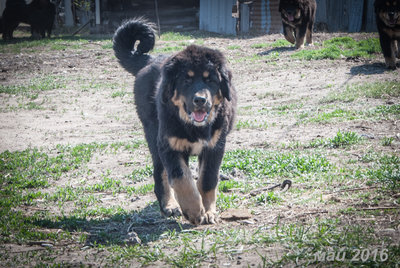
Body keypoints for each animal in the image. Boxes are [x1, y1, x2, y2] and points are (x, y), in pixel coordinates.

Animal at [111, 18, 238, 224]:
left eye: (210, 80)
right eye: (187, 80)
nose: (200, 100)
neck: (195, 128)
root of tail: (149, 60)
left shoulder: (215, 145)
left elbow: (207, 180)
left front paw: (209, 211)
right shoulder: (168, 145)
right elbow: (181, 178)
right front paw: (193, 210)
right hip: (153, 134)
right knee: (160, 173)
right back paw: (169, 206)